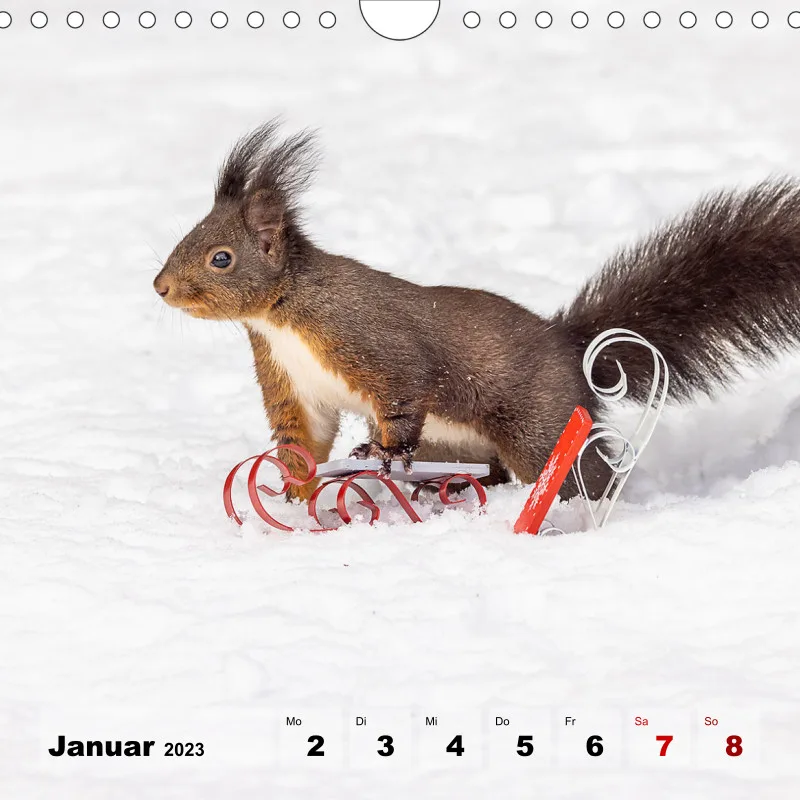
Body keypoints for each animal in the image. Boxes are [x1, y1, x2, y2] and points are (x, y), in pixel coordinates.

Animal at [154, 120, 800, 502]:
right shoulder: (293, 383)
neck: (281, 316)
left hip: (541, 425)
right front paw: (293, 490)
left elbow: (404, 389)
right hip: (458, 441)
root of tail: (571, 348)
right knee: (493, 469)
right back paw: (454, 490)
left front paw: (381, 452)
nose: (160, 288)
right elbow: (304, 438)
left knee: (577, 473)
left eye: (220, 258)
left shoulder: (372, 340)